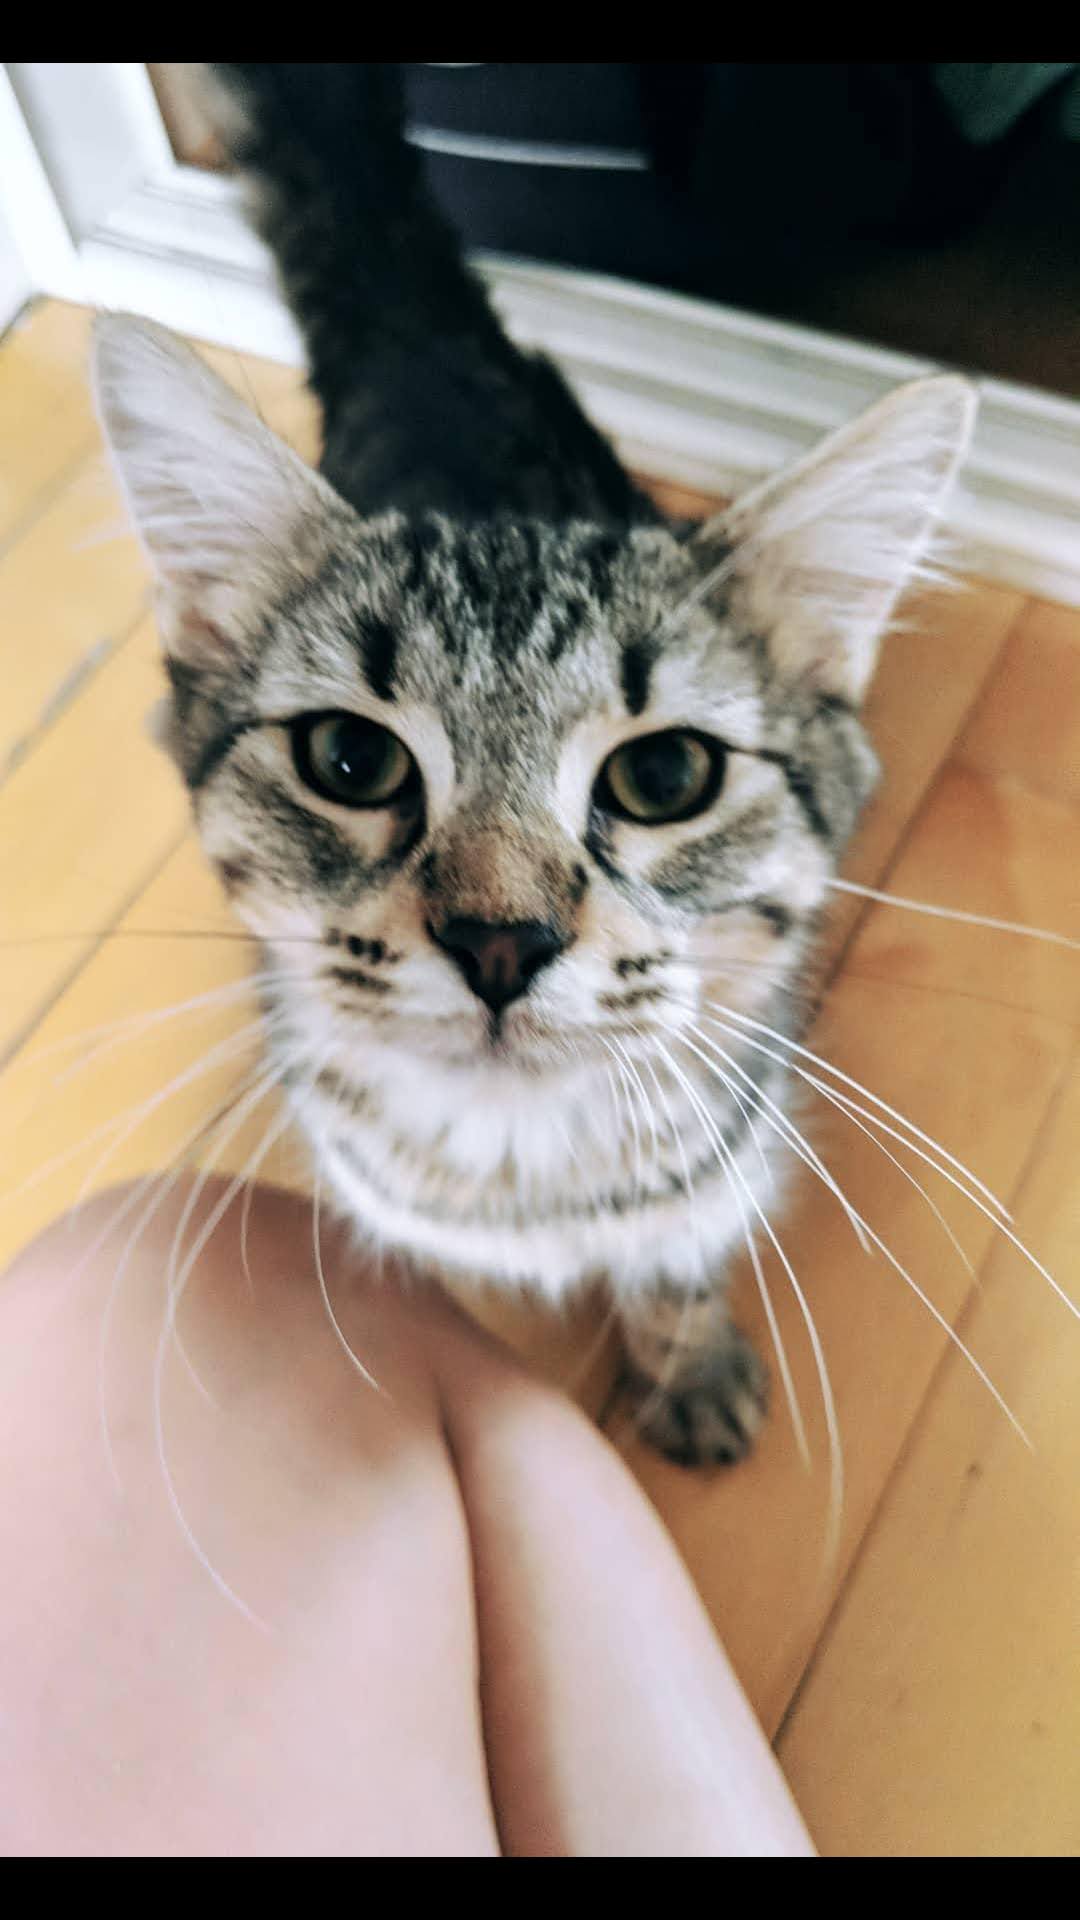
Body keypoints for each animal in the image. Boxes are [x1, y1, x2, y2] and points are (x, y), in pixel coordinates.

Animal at [91, 63, 975, 1465]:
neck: (527, 1174)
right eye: (351, 757)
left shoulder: (712, 1169)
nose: (499, 943)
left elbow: (675, 1262)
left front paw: (691, 1363)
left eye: (664, 779)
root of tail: (422, 334)